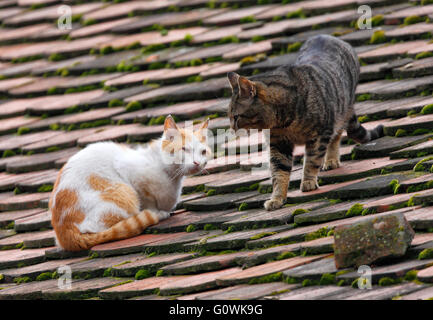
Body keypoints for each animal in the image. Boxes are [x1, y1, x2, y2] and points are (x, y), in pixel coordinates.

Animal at [49, 116, 211, 251]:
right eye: (184, 149)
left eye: (203, 152)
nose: (197, 163)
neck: (171, 175)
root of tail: (66, 237)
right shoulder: (129, 172)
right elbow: (148, 201)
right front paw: (155, 212)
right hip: (123, 194)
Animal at [226, 35, 382, 211]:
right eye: (230, 116)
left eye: (236, 117)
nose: (231, 128)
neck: (283, 122)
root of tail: (326, 36)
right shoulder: (278, 144)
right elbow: (279, 172)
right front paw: (277, 198)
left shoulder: (320, 134)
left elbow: (312, 160)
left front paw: (308, 181)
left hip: (340, 112)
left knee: (336, 136)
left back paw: (331, 160)